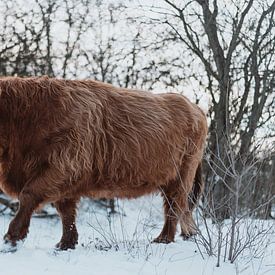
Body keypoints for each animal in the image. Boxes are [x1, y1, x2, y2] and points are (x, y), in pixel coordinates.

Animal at [0, 76, 208, 251]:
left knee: (175, 205)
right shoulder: (65, 177)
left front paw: (12, 237)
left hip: (182, 175)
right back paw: (182, 235)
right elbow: (66, 211)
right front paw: (66, 243)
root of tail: (196, 109)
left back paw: (164, 239)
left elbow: (28, 195)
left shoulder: (64, 166)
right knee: (177, 206)